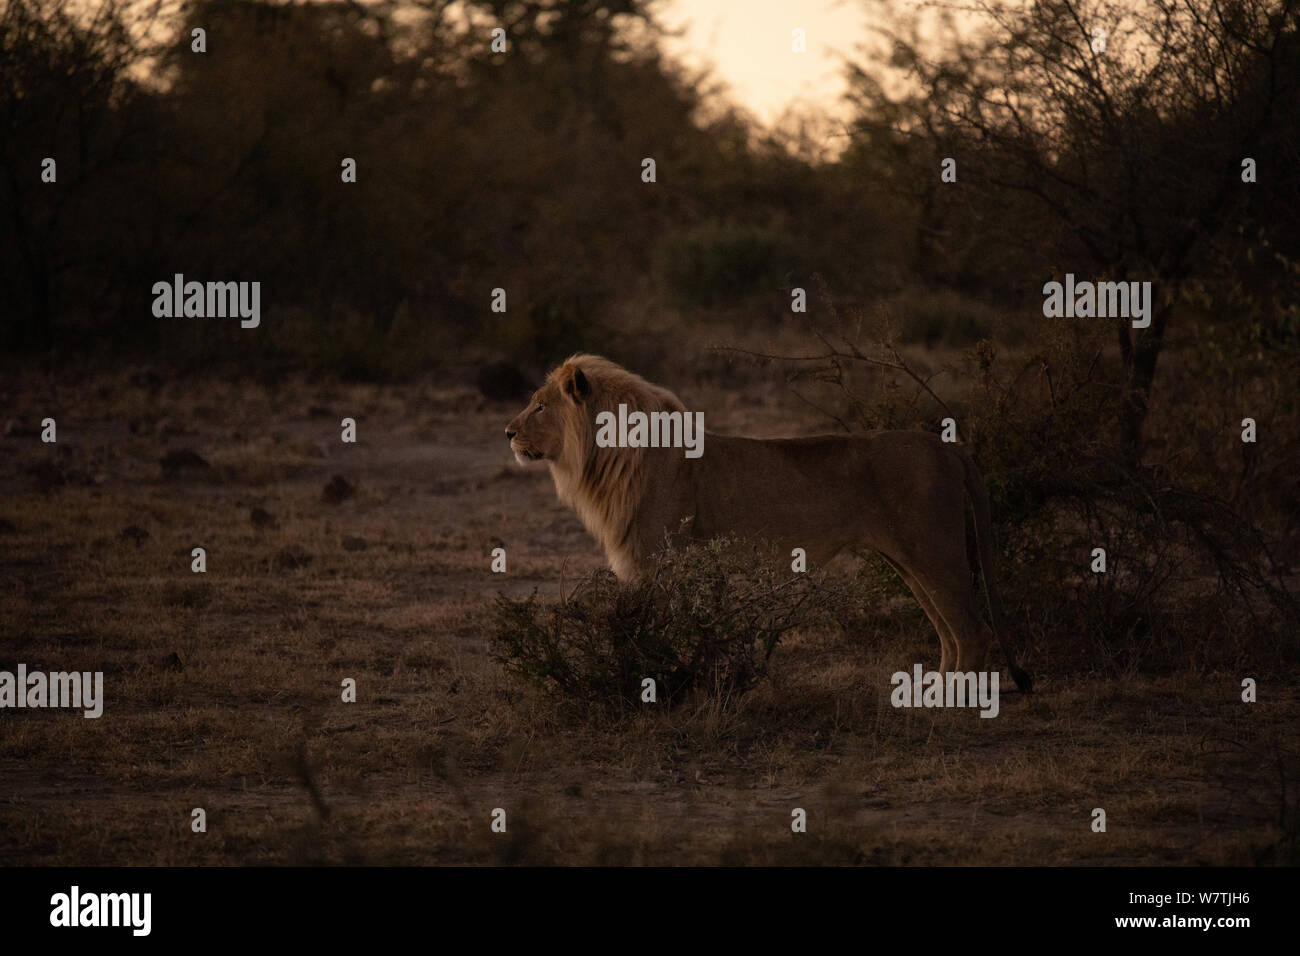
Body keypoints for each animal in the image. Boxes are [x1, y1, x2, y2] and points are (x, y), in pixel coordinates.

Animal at [505, 354, 1031, 692]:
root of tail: (945, 444)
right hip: (908, 562)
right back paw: (931, 692)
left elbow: (653, 635)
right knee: (948, 630)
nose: (507, 432)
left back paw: (949, 703)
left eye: (540, 405)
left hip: (934, 552)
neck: (604, 458)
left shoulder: (655, 561)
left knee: (971, 630)